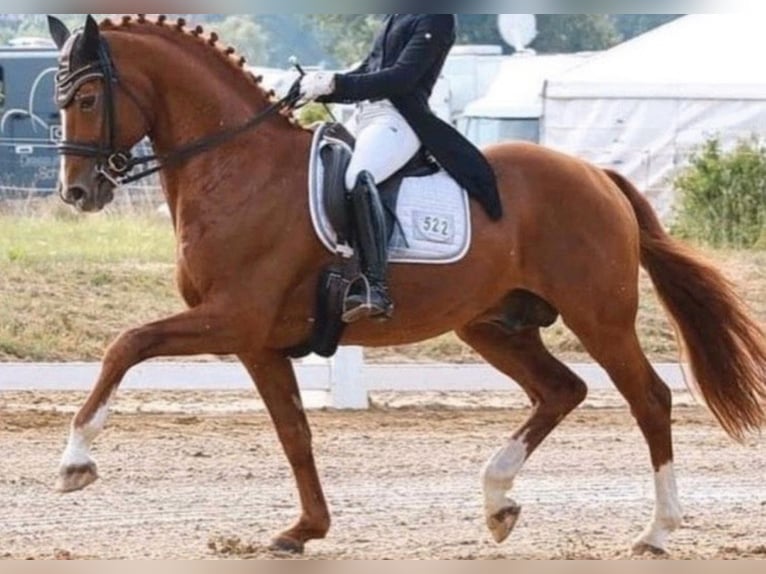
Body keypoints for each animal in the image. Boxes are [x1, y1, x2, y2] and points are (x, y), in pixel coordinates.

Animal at [48, 15, 766, 560]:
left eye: (85, 100)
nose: (77, 193)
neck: (236, 167)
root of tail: (595, 174)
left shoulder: (234, 318)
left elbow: (126, 344)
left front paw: (76, 462)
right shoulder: (259, 342)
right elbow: (294, 433)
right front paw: (304, 530)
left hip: (600, 317)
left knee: (648, 399)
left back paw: (656, 531)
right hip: (492, 324)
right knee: (562, 390)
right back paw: (497, 501)